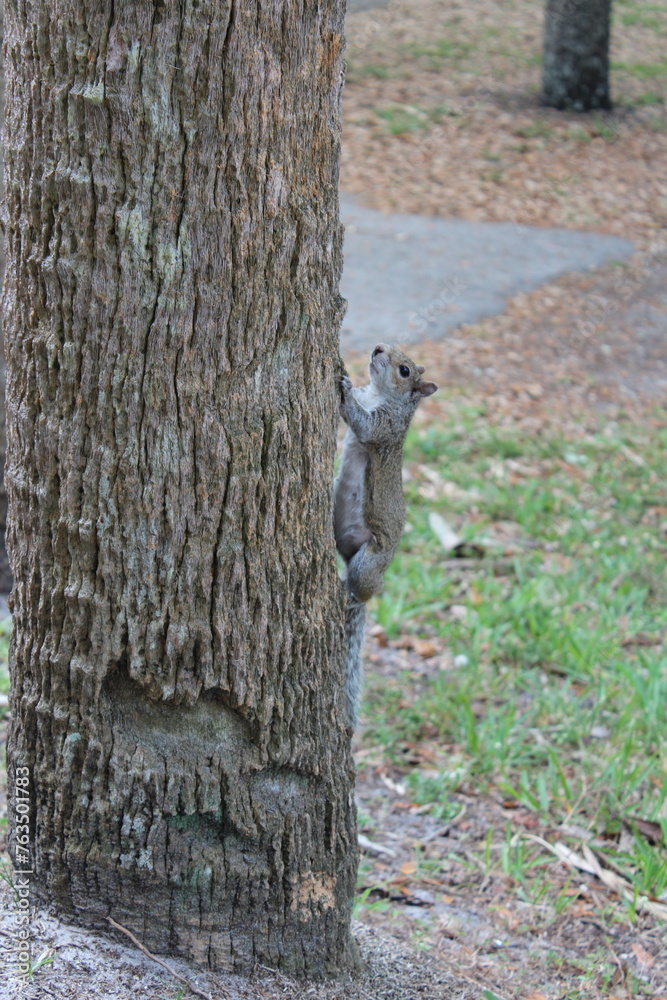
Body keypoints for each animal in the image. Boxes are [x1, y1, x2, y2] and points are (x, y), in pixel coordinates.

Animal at [334, 343, 438, 727]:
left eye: (405, 370)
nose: (378, 347)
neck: (379, 393)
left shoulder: (386, 426)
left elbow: (362, 424)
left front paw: (346, 388)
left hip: (368, 564)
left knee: (364, 590)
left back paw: (352, 597)